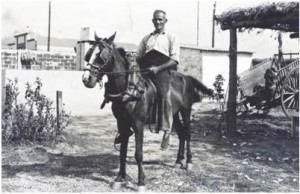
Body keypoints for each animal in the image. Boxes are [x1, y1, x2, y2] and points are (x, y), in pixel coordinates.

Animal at [82, 32, 213, 191]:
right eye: (89, 54)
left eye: (102, 56)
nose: (87, 79)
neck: (129, 89)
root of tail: (186, 77)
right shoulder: (122, 123)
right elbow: (123, 152)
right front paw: (120, 178)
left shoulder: (138, 124)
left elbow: (138, 154)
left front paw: (141, 182)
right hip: (173, 114)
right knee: (181, 133)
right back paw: (178, 161)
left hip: (185, 111)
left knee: (187, 133)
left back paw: (188, 162)